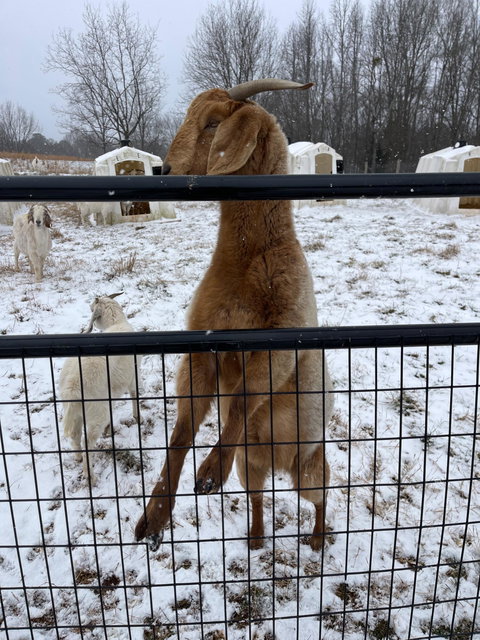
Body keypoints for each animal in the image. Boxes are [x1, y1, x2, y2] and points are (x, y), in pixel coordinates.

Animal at [59, 293, 141, 485]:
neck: (117, 323)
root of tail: (72, 386)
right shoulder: (133, 376)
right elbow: (135, 395)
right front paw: (137, 418)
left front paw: (109, 429)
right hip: (96, 411)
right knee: (87, 442)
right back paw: (90, 475)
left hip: (77, 411)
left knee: (75, 435)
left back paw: (78, 457)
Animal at [135, 78, 333, 552]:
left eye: (212, 123)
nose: (164, 170)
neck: (249, 264)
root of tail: (279, 464)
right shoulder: (202, 348)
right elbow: (181, 433)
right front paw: (154, 518)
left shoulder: (282, 344)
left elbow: (243, 400)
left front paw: (209, 474)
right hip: (252, 466)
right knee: (258, 497)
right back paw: (257, 538)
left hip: (311, 465)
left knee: (323, 497)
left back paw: (317, 540)